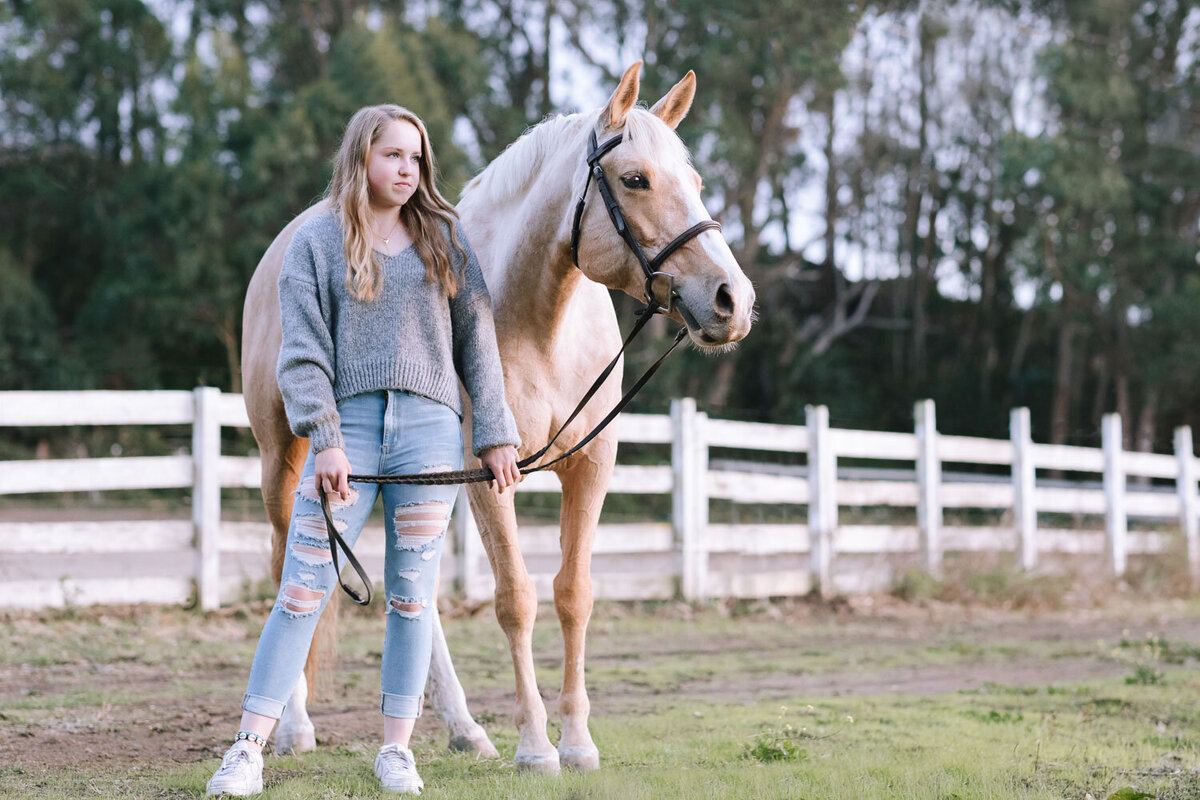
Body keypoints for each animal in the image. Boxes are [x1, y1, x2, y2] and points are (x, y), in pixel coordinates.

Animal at [238, 64, 753, 777]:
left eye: (696, 183)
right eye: (635, 179)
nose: (733, 300)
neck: (538, 321)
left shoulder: (590, 466)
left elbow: (574, 592)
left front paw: (578, 741)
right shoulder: (490, 475)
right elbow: (515, 598)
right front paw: (536, 747)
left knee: (413, 592)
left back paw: (464, 729)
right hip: (287, 465)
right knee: (293, 571)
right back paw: (295, 727)